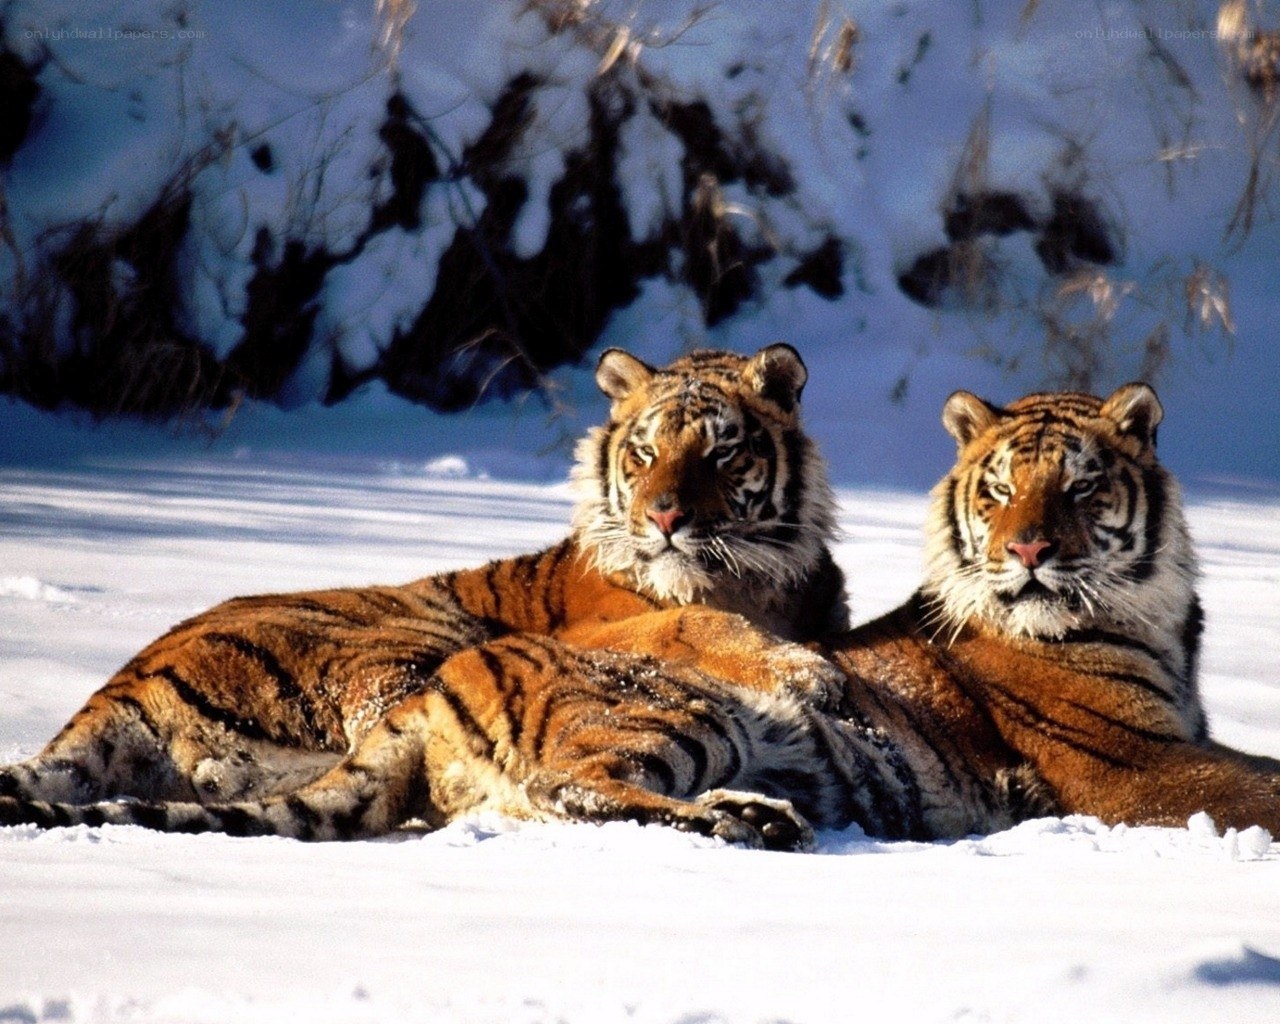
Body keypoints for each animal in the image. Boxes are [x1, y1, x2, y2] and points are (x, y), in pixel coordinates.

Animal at [0, 343, 848, 829]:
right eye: (643, 453)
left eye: (720, 452)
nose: (664, 515)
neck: (754, 581)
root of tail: (119, 688)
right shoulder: (612, 630)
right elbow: (691, 627)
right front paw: (807, 673)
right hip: (407, 649)